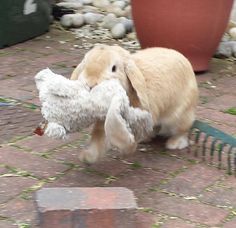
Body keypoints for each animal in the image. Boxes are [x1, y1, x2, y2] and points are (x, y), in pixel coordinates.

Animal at [70, 43, 199, 163]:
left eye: (114, 68)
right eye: (85, 64)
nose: (90, 84)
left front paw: (127, 149)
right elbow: (98, 139)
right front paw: (87, 157)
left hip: (180, 116)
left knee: (181, 131)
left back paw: (174, 144)